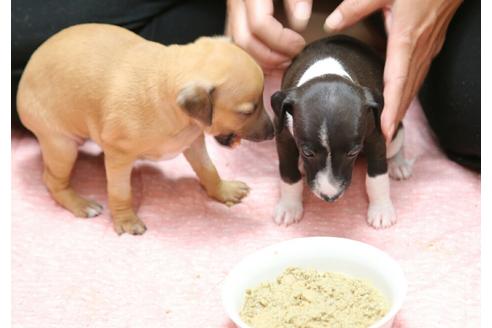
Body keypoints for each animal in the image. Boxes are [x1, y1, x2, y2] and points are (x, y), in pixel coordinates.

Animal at [18, 24, 272, 234]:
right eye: (247, 111)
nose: (272, 131)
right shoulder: (119, 156)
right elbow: (120, 191)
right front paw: (126, 220)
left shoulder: (193, 141)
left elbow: (208, 169)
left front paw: (223, 190)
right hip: (61, 145)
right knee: (52, 180)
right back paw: (80, 203)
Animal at [270, 35, 414, 228]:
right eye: (307, 153)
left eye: (353, 152)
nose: (330, 198)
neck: (327, 71)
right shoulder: (284, 137)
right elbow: (288, 174)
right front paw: (289, 206)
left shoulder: (375, 137)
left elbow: (377, 176)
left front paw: (381, 209)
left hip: (393, 136)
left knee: (396, 145)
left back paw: (398, 164)